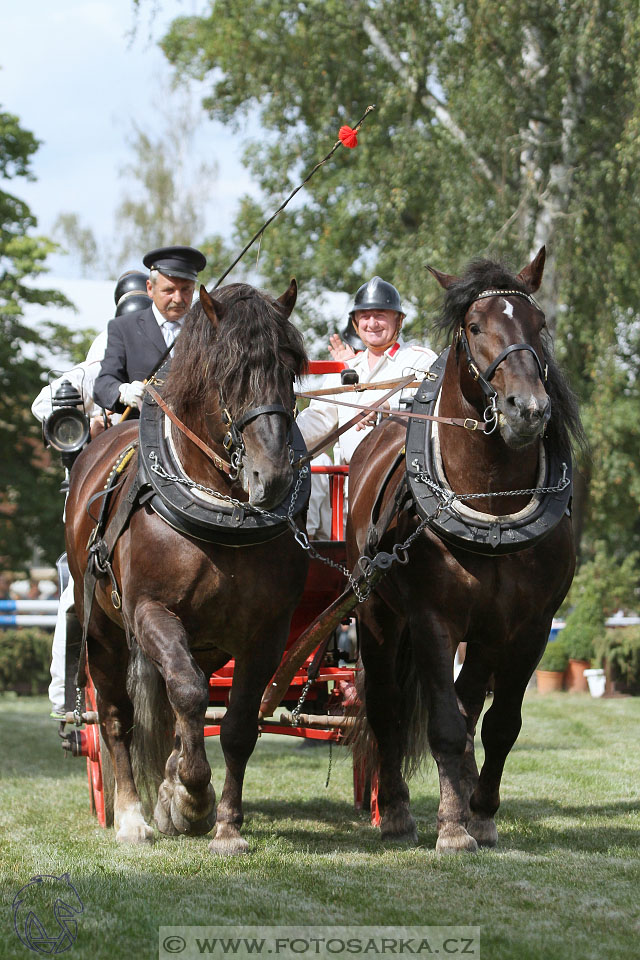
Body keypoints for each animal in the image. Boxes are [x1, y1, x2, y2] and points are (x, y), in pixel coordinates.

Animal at [67, 282, 310, 852]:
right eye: (229, 371)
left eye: (291, 368)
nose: (272, 478)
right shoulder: (151, 613)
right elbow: (188, 694)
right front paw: (192, 797)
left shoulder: (266, 633)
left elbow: (239, 723)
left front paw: (224, 824)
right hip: (103, 634)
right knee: (119, 718)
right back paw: (131, 816)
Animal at [348, 251, 584, 852]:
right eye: (475, 327)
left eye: (539, 323)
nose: (528, 410)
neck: (493, 502)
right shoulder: (432, 620)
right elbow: (445, 725)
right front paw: (452, 826)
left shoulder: (527, 626)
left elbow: (499, 724)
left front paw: (479, 811)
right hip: (377, 615)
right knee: (385, 706)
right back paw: (398, 809)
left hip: (483, 633)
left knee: (468, 700)